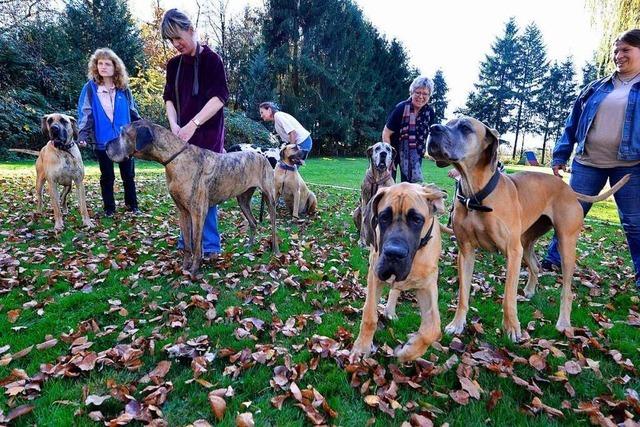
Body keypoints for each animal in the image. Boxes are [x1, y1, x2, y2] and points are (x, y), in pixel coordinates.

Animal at [106, 120, 278, 274]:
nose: (106, 145)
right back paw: (250, 245)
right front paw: (185, 266)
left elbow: (196, 243)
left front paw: (194, 270)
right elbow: (188, 244)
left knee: (273, 226)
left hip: (270, 199)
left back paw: (275, 250)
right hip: (242, 200)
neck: (175, 159)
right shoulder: (183, 211)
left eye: (122, 133)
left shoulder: (198, 212)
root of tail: (262, 156)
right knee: (253, 222)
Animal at [352, 182, 448, 362]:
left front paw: (409, 350)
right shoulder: (374, 274)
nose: (394, 253)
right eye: (384, 217)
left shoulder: (427, 286)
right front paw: (362, 347)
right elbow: (369, 315)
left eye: (417, 220)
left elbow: (433, 328)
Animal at [424, 117, 632, 342]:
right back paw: (531, 289)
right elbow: (463, 293)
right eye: (448, 122)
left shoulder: (512, 252)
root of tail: (568, 188)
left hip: (565, 243)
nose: (433, 128)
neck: (477, 195)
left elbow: (508, 296)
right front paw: (457, 323)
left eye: (465, 127)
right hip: (526, 240)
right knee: (535, 265)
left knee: (567, 289)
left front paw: (512, 328)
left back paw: (564, 322)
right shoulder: (466, 250)